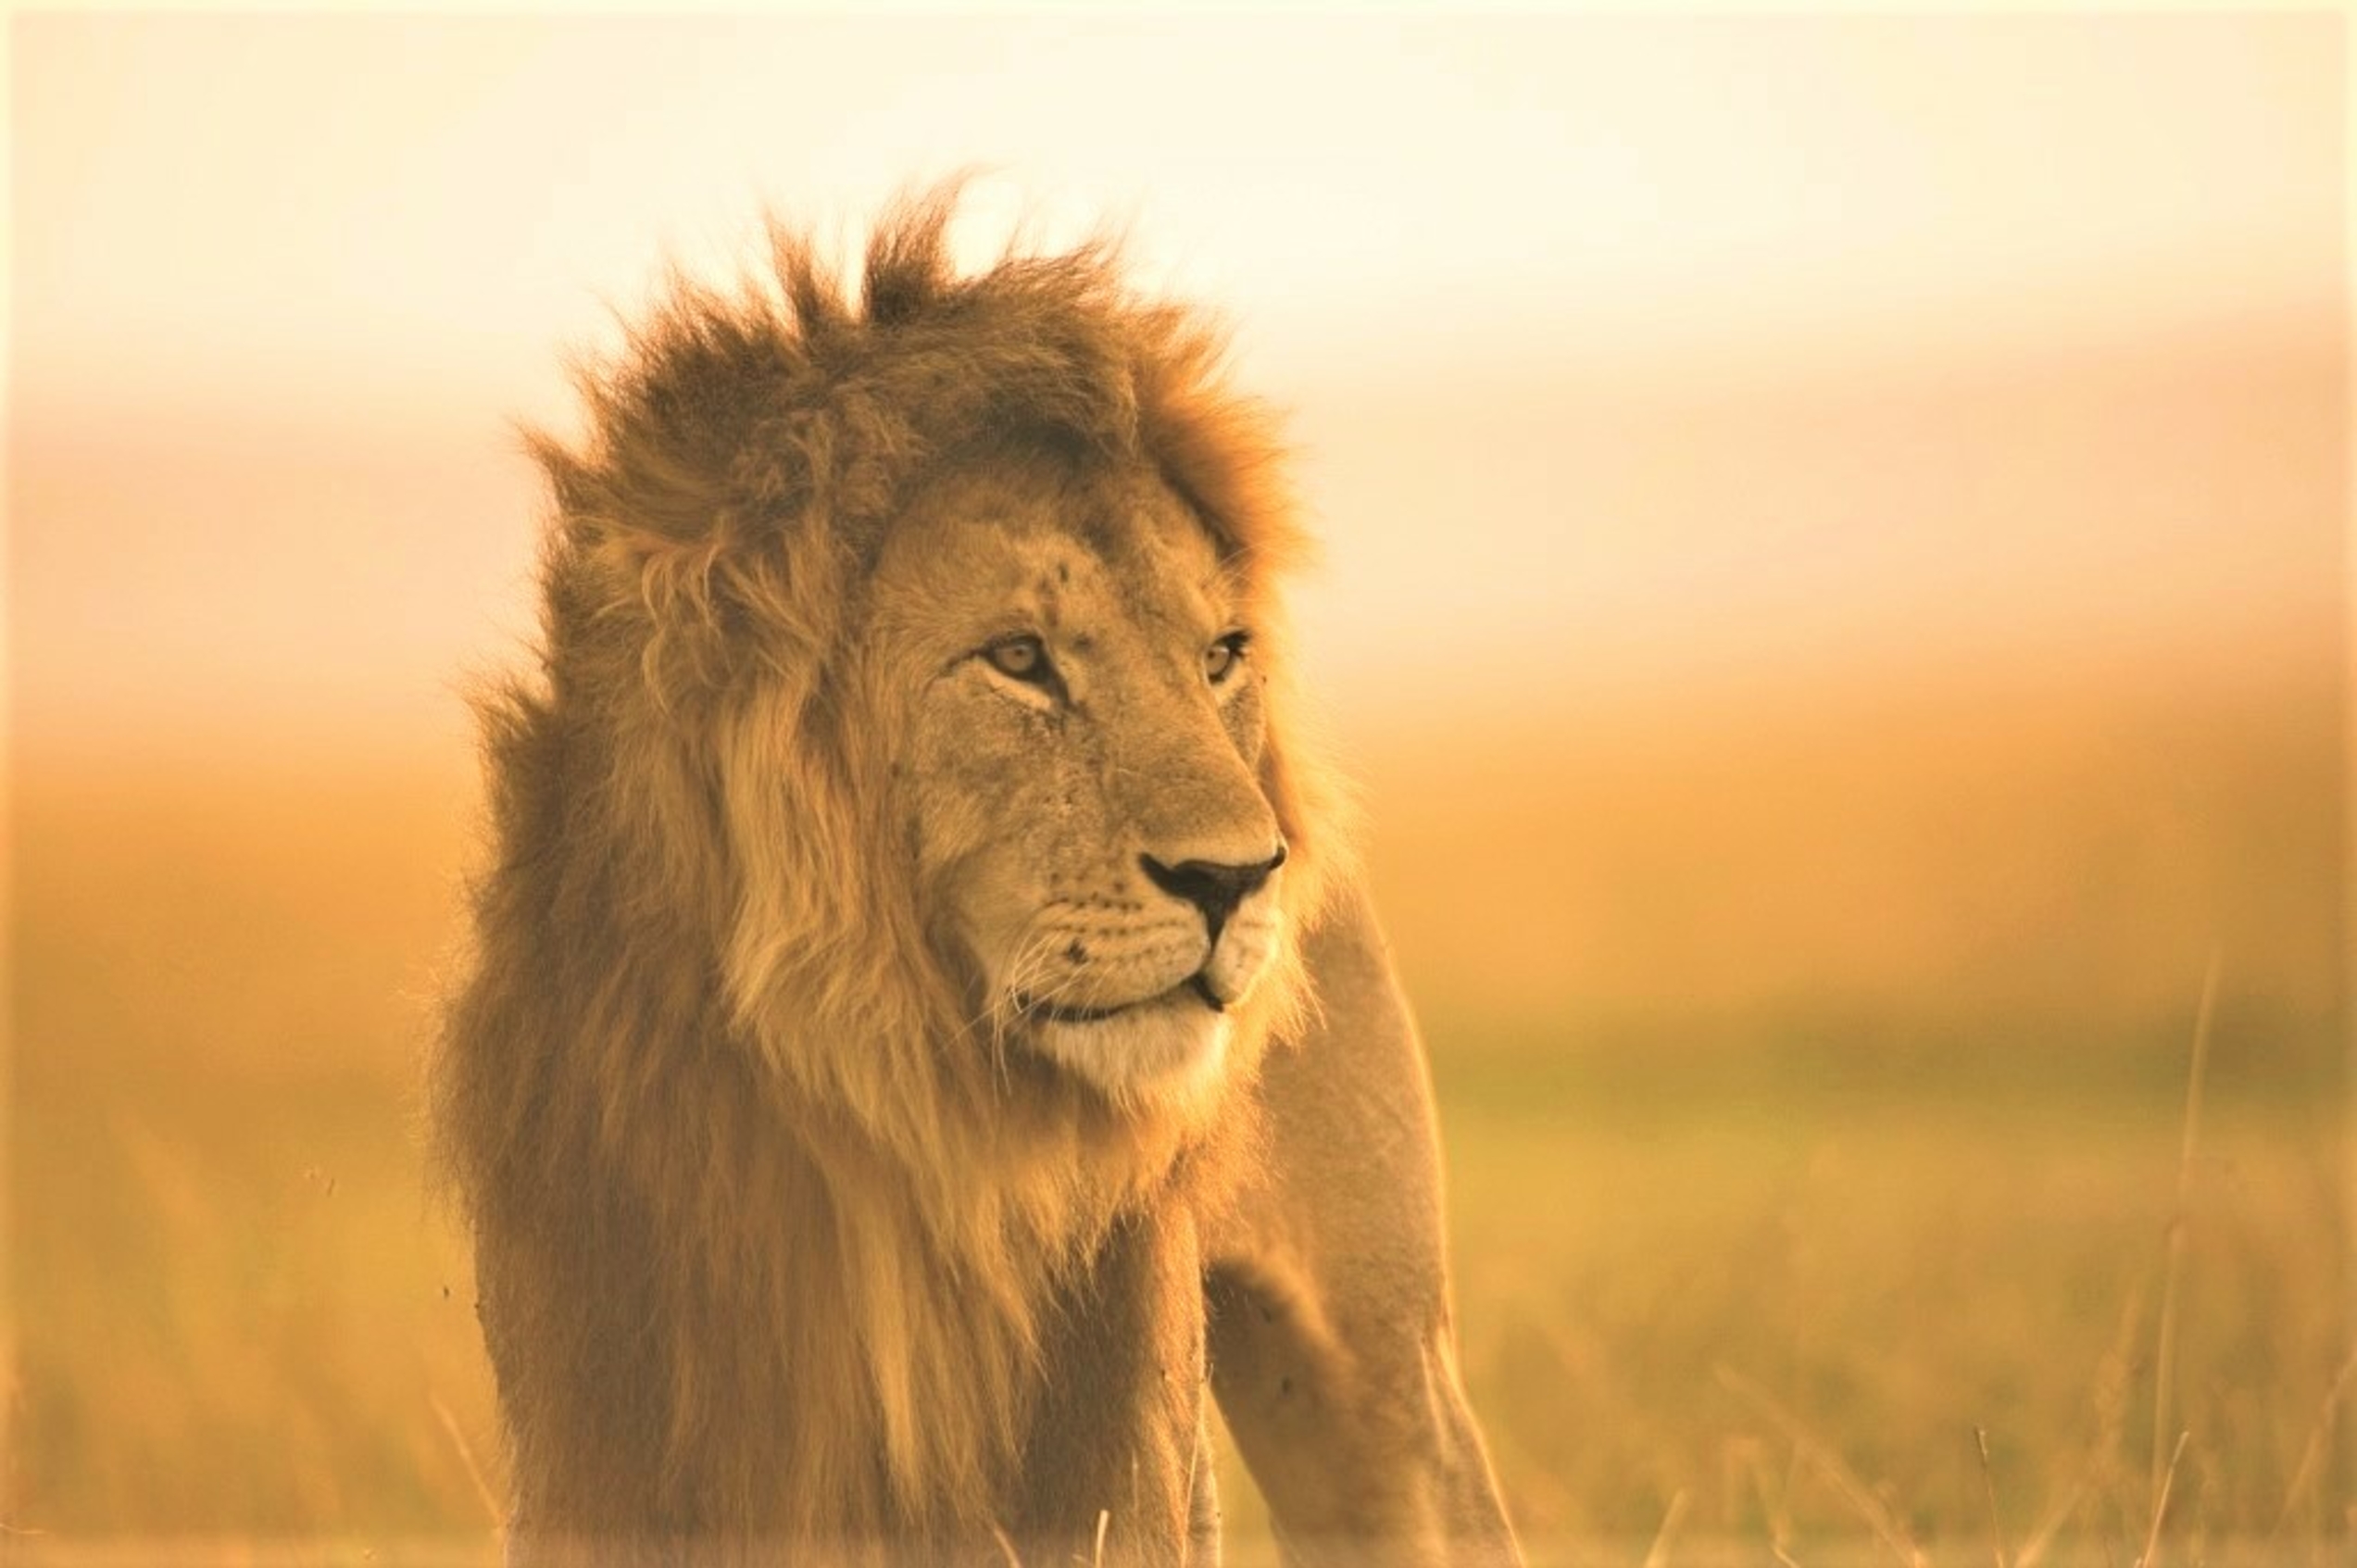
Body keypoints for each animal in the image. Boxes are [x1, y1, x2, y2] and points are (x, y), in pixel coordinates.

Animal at [434, 190, 1519, 1567]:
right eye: (1017, 659)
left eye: (1219, 655)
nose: (1239, 876)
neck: (887, 1136)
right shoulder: (606, 1441)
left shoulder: (1117, 1480)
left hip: (1381, 1375)